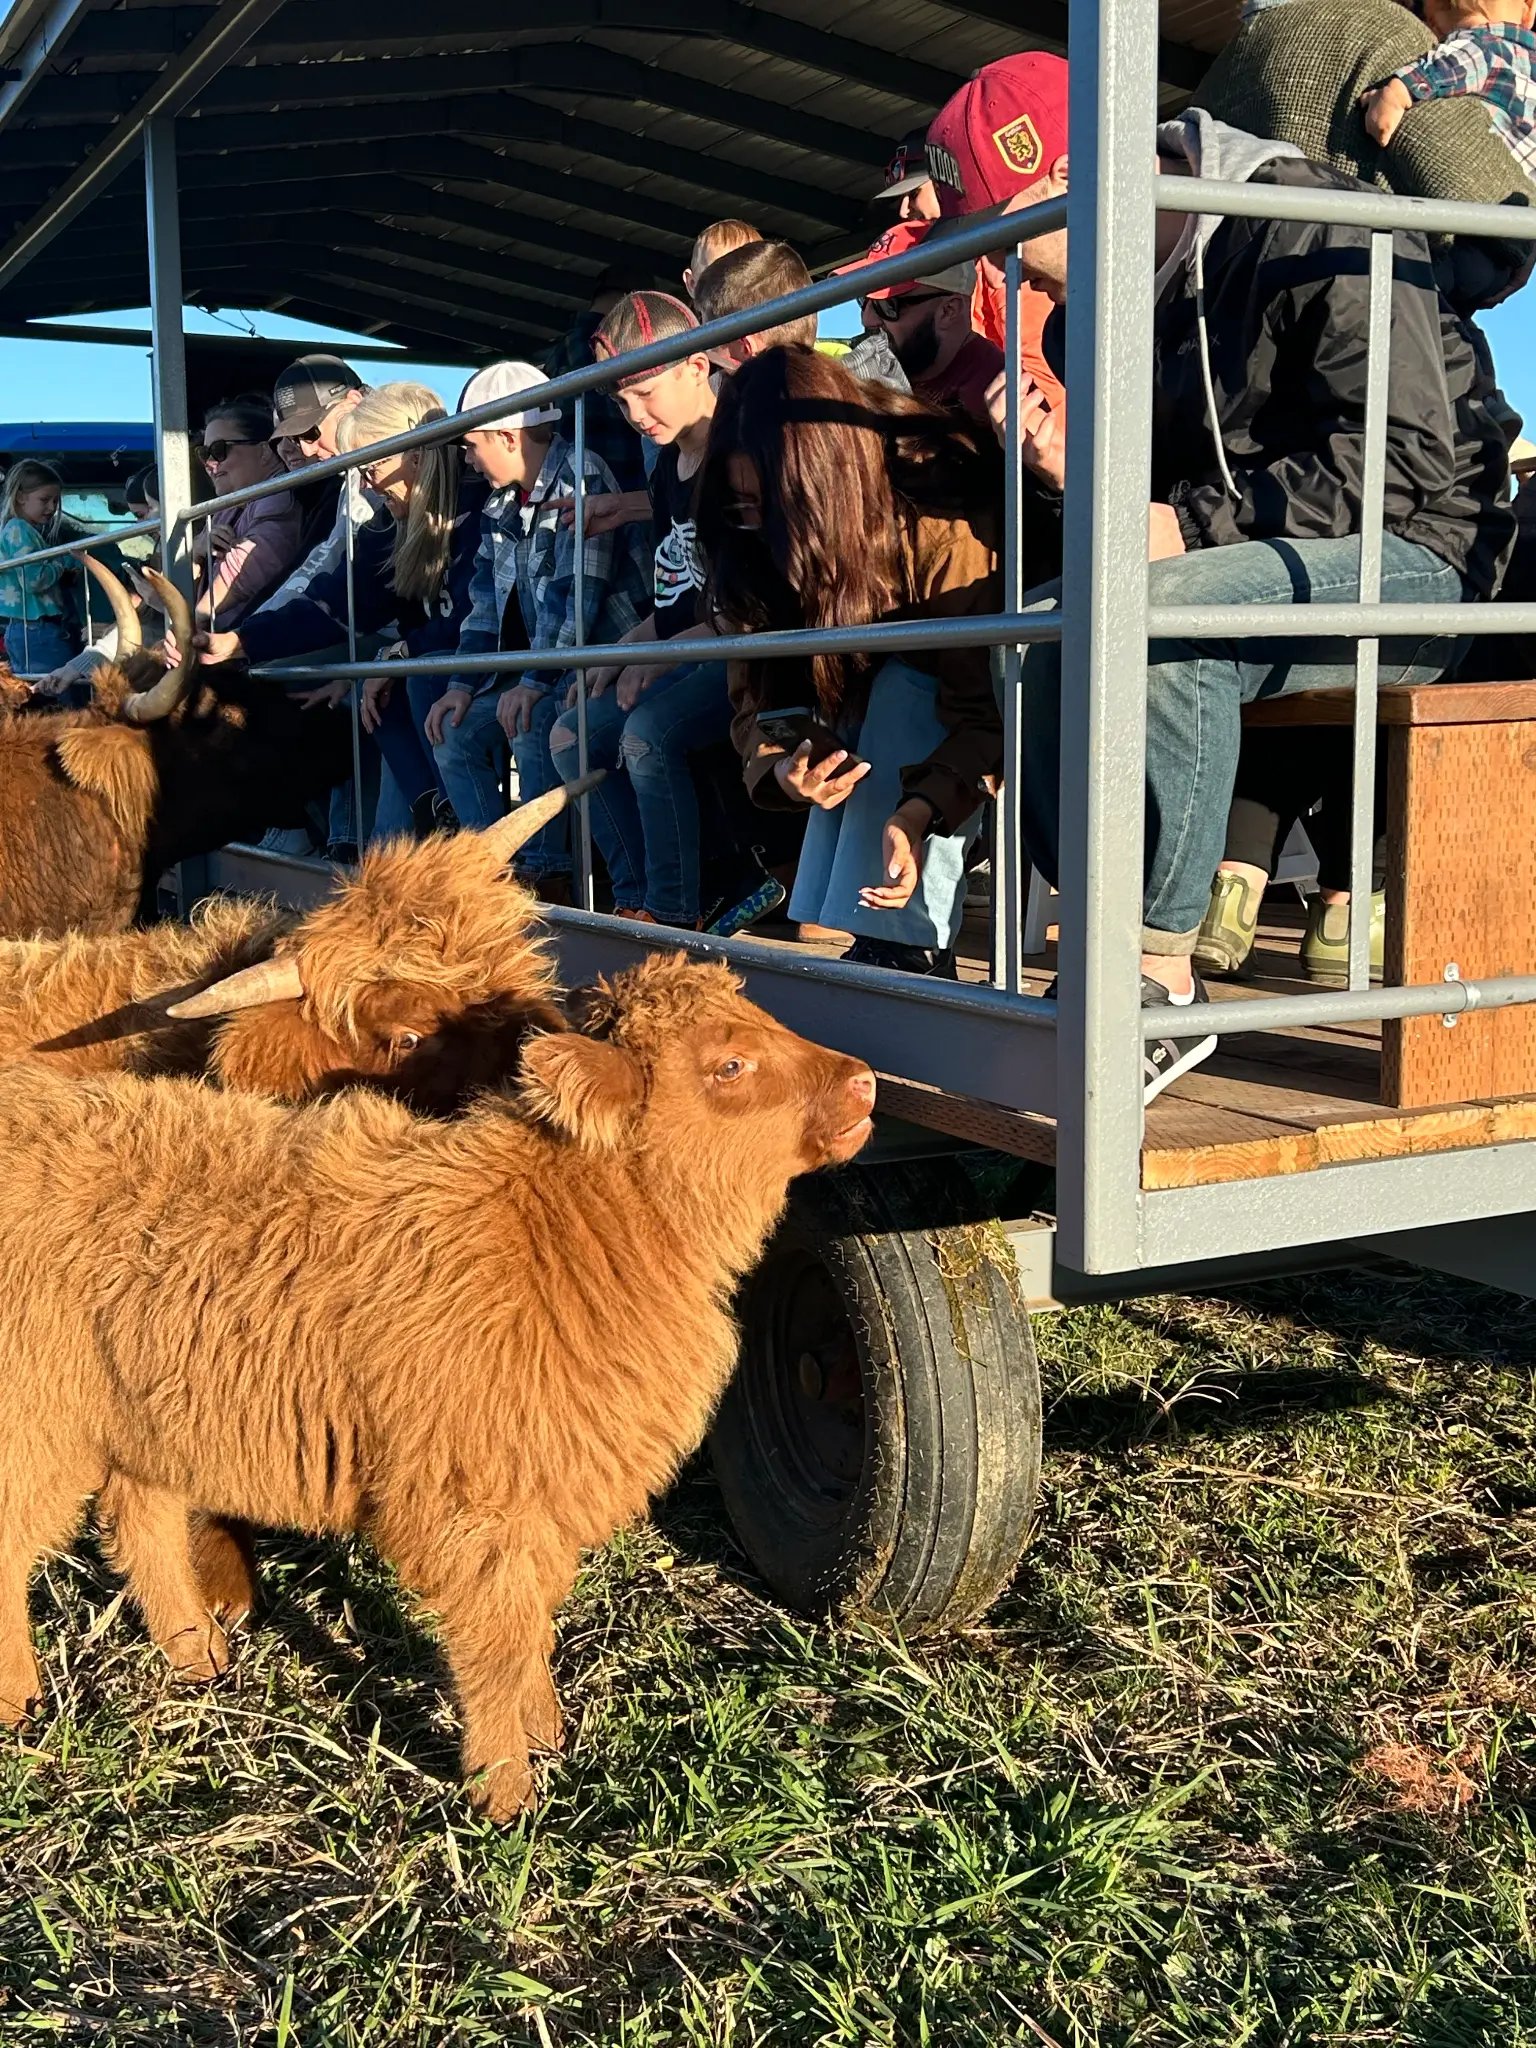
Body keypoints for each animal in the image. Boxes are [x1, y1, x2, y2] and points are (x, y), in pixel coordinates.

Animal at [0, 955, 876, 1817]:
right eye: (729, 1065)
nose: (866, 1082)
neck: (563, 1231)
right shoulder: (474, 1502)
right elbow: (495, 1639)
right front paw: (505, 1793)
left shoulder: (537, 1492)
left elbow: (533, 1619)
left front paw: (547, 1734)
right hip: (35, 1417)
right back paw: (21, 1705)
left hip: (137, 1408)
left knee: (139, 1519)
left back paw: (197, 1656)